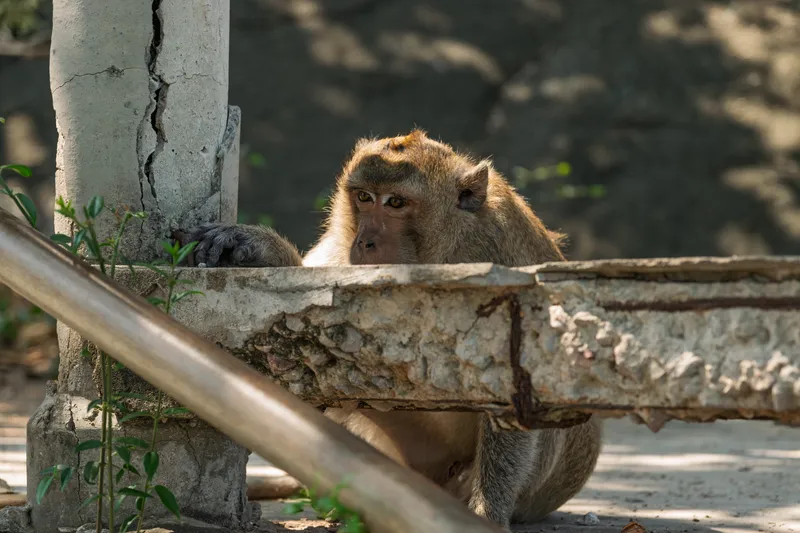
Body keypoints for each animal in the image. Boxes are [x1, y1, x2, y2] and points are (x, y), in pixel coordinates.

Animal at [186, 130, 603, 531]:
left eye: (396, 203)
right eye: (364, 197)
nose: (365, 241)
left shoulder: (498, 255)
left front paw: (488, 515)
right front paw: (259, 247)